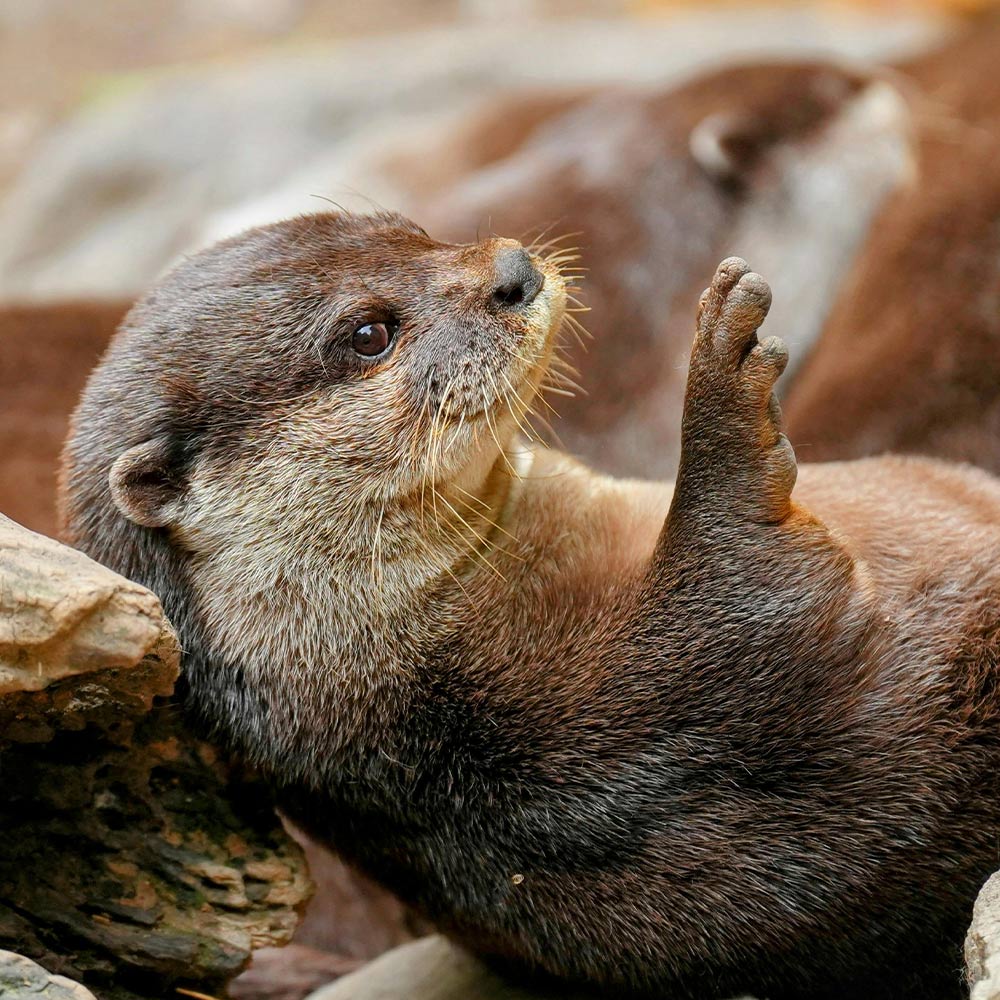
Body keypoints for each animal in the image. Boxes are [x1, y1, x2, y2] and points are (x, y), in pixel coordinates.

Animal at [62, 213, 1000, 1000]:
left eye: (411, 232)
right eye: (368, 334)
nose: (512, 271)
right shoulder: (598, 739)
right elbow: (749, 593)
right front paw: (722, 382)